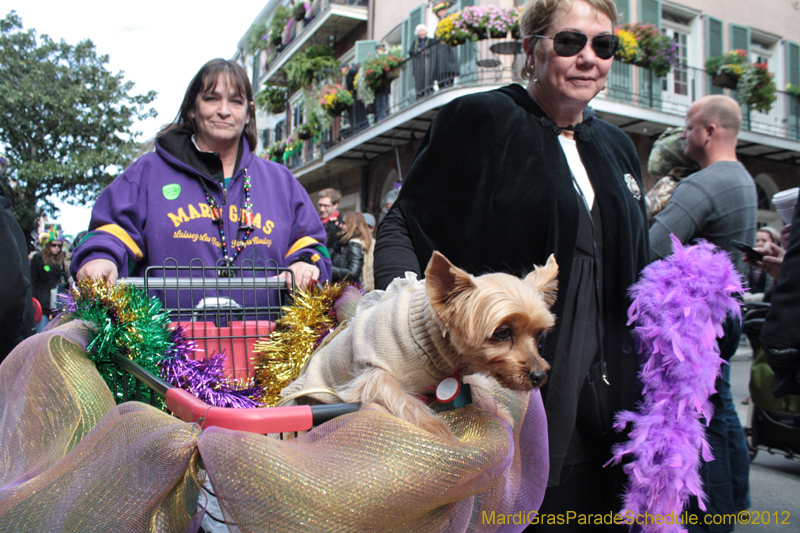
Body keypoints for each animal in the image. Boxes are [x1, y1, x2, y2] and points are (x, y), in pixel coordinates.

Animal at [282, 251, 556, 438]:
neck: (433, 341)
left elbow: (479, 390)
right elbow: (406, 402)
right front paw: (444, 433)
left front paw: (499, 412)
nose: (539, 376)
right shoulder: (373, 374)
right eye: (502, 333)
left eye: (539, 334)